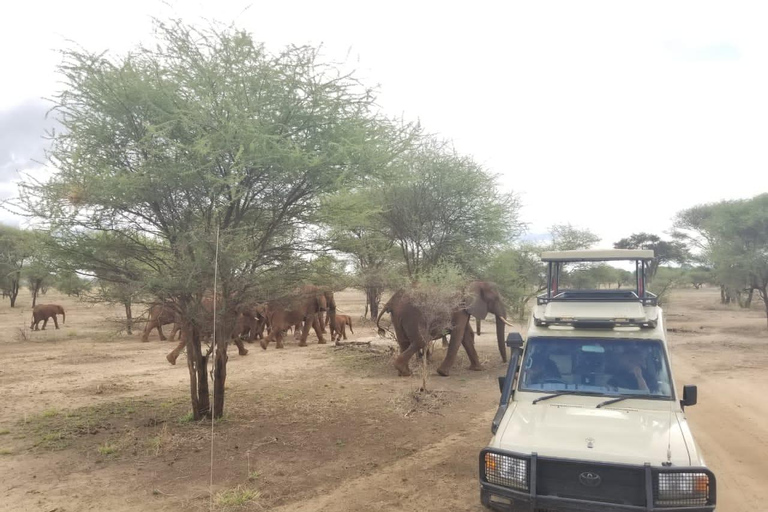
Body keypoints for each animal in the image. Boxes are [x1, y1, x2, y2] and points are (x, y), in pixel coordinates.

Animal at [376, 284, 512, 376]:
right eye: (495, 299)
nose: (504, 362)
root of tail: (391, 302)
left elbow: (466, 337)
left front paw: (478, 369)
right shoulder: (459, 310)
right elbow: (458, 335)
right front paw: (443, 373)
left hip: (398, 317)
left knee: (403, 341)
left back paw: (404, 373)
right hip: (412, 315)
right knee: (421, 340)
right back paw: (404, 370)